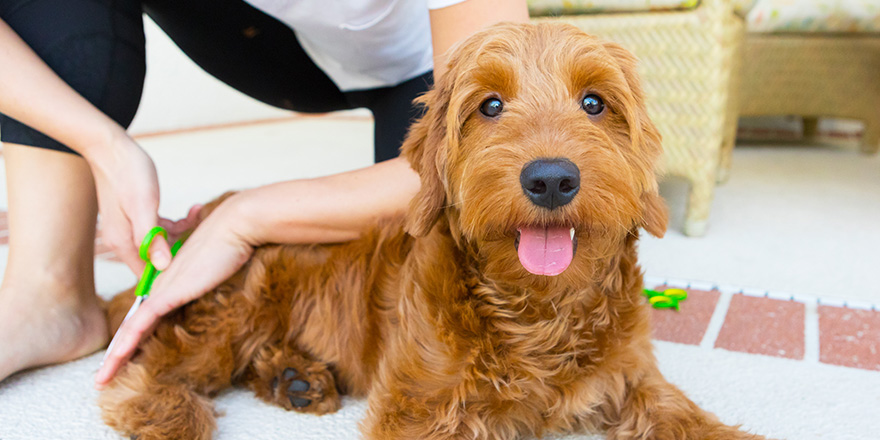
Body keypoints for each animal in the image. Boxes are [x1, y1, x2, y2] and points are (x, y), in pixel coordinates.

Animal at [99, 22, 768, 440]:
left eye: (595, 103)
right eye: (490, 105)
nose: (551, 179)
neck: (539, 314)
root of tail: (201, 220)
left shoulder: (634, 378)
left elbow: (684, 416)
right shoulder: (420, 408)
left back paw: (295, 379)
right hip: (228, 309)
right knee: (150, 368)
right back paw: (175, 415)